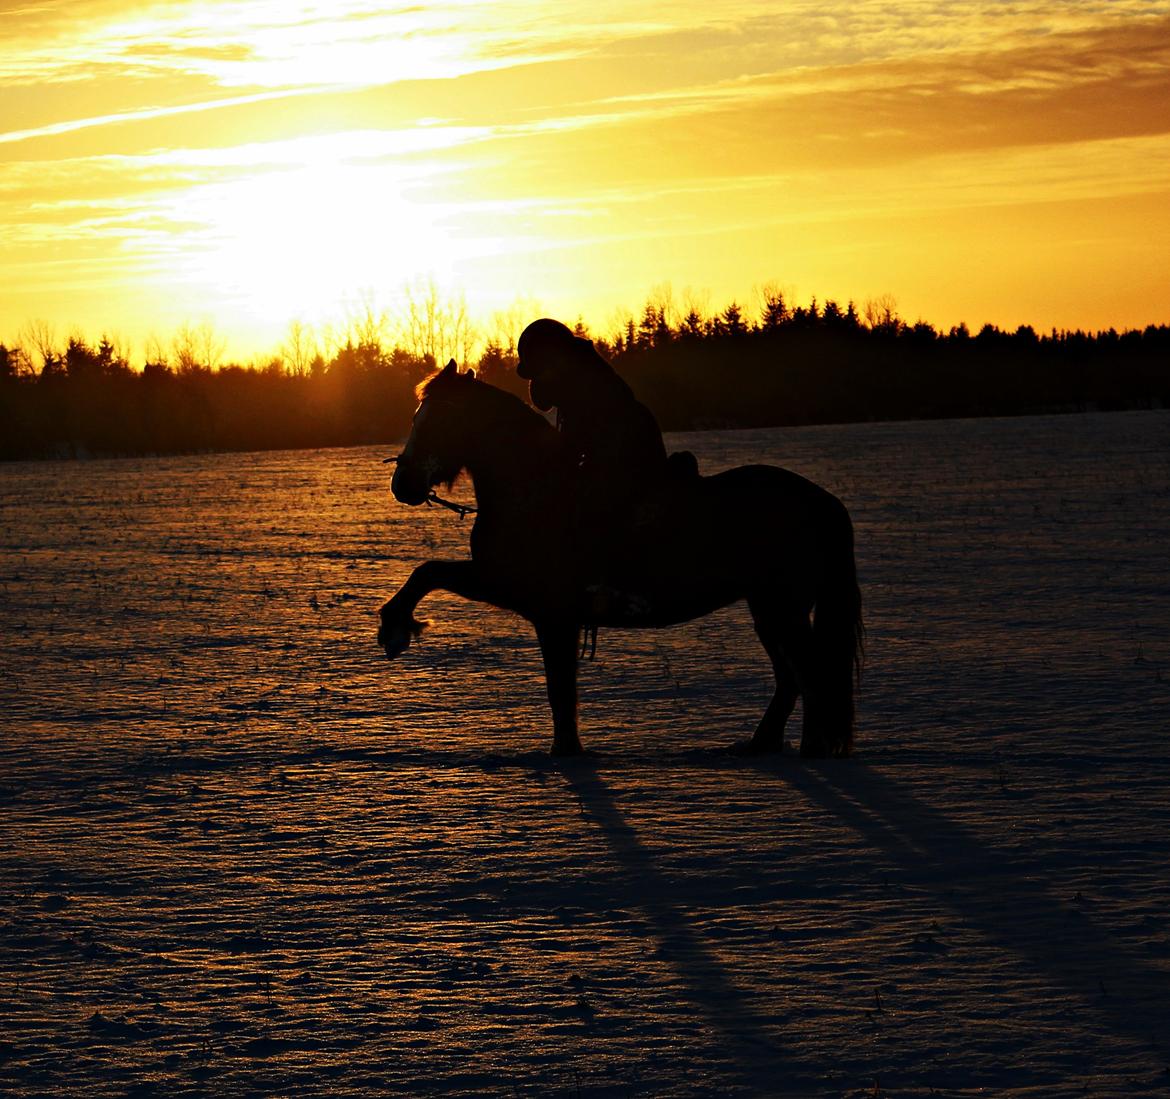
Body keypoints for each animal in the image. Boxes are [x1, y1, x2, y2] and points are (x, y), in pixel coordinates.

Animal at [379, 360, 865, 758]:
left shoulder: (536, 602)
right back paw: (765, 745)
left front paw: (395, 630)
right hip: (768, 608)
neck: (536, 491)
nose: (403, 484)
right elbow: (430, 573)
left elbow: (559, 686)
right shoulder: (526, 598)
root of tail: (821, 502)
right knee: (792, 677)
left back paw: (811, 750)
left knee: (810, 673)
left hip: (782, 607)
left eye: (440, 418)